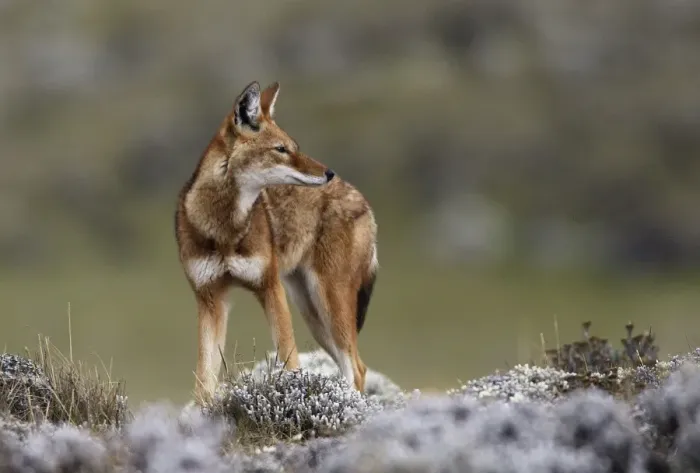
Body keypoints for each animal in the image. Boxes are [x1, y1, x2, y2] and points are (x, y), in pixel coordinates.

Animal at [174, 80, 378, 402]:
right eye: (281, 150)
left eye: (295, 147)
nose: (329, 173)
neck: (226, 228)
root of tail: (362, 199)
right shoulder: (210, 299)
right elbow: (204, 383)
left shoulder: (269, 288)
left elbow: (289, 360)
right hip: (312, 313)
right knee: (356, 365)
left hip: (329, 303)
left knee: (356, 368)